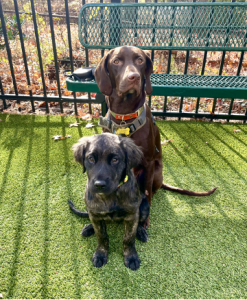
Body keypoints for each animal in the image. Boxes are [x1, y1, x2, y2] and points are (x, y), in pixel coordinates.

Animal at [70, 133, 150, 270]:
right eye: (91, 159)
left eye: (115, 160)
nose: (99, 185)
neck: (110, 196)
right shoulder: (95, 214)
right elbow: (102, 236)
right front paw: (100, 254)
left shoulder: (131, 215)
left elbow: (129, 238)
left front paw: (131, 257)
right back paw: (89, 228)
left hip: (144, 206)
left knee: (139, 221)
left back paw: (141, 231)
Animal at [94, 45, 216, 226]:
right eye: (116, 61)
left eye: (140, 60)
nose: (134, 77)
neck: (125, 118)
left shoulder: (149, 163)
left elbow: (147, 193)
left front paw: (144, 220)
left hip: (157, 173)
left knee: (150, 190)